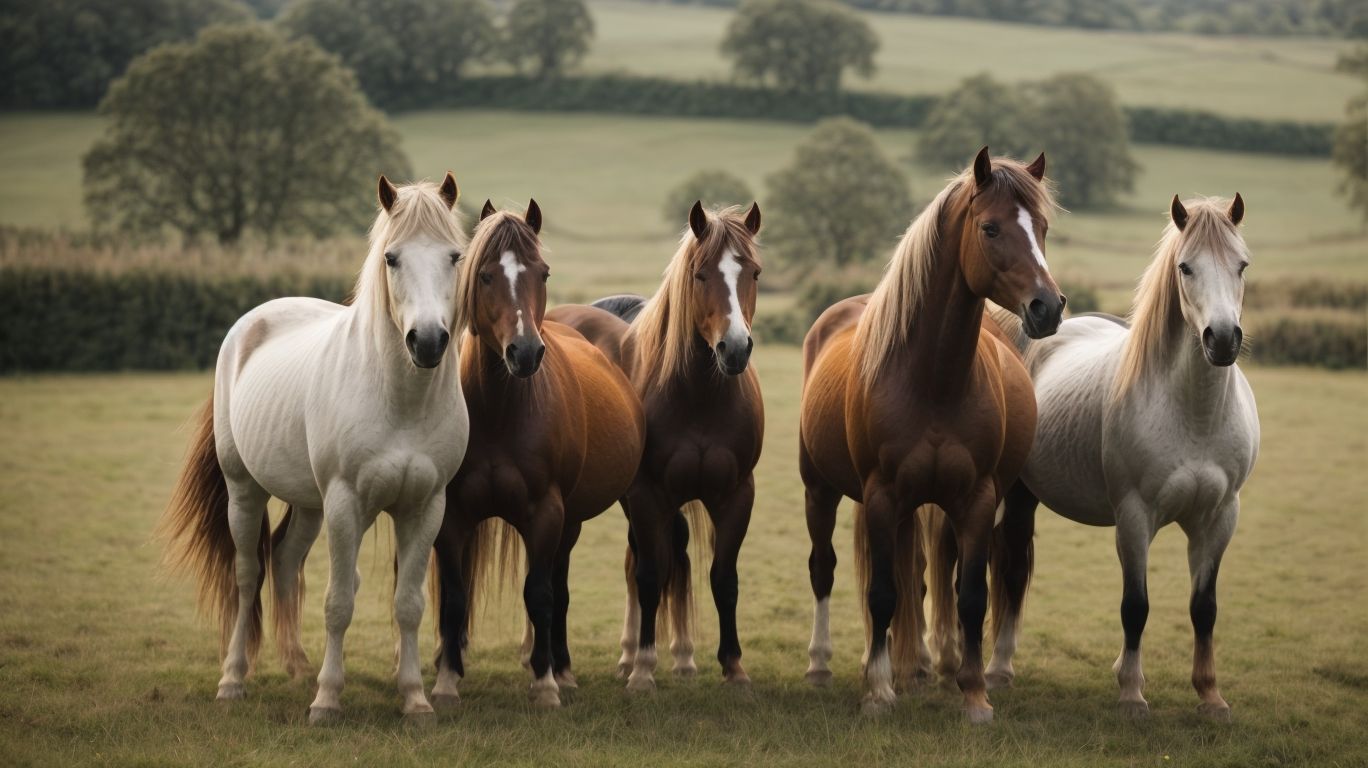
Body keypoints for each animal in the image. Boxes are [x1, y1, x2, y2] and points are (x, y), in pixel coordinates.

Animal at [159, 174, 470, 725]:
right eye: (391, 258)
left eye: (454, 256)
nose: (429, 341)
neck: (400, 401)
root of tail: (251, 323)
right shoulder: (345, 503)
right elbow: (338, 603)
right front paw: (327, 700)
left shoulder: (424, 506)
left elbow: (408, 604)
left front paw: (414, 699)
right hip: (245, 492)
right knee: (248, 574)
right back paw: (233, 679)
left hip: (308, 504)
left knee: (284, 562)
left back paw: (297, 665)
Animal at [425, 200, 645, 709]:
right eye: (485, 275)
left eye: (542, 273)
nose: (524, 353)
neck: (500, 414)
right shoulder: (452, 517)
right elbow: (455, 597)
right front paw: (446, 681)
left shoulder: (546, 512)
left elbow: (541, 595)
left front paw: (545, 684)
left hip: (570, 520)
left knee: (558, 589)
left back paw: (560, 669)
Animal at [546, 201, 764, 691]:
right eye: (700, 274)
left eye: (754, 273)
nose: (735, 349)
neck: (699, 396)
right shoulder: (646, 493)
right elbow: (648, 576)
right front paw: (643, 670)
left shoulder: (736, 493)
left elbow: (724, 578)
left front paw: (734, 668)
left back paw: (678, 656)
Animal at [798, 148, 1064, 722]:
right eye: (990, 227)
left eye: (1043, 227)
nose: (1048, 307)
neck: (933, 380)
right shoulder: (879, 495)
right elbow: (880, 592)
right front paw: (878, 692)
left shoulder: (977, 499)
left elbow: (969, 596)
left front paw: (974, 693)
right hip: (821, 490)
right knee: (825, 568)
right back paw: (823, 665)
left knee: (919, 572)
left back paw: (921, 665)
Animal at [972, 194, 1258, 720]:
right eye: (1185, 267)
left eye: (1242, 264)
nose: (1223, 339)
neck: (1194, 415)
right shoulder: (1134, 517)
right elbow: (1135, 606)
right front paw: (1131, 694)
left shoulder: (1218, 518)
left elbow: (1204, 608)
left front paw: (1210, 695)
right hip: (1017, 496)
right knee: (1013, 570)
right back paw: (998, 669)